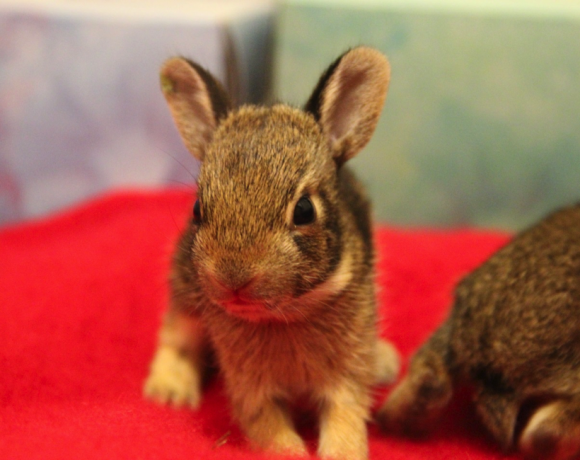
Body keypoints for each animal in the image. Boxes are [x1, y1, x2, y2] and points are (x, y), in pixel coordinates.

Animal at [144, 47, 398, 460]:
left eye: (305, 210)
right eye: (198, 209)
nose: (232, 279)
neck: (285, 314)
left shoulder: (346, 376)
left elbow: (344, 418)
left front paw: (342, 452)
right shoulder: (252, 390)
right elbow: (270, 429)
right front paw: (292, 451)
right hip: (184, 288)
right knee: (178, 334)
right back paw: (169, 391)